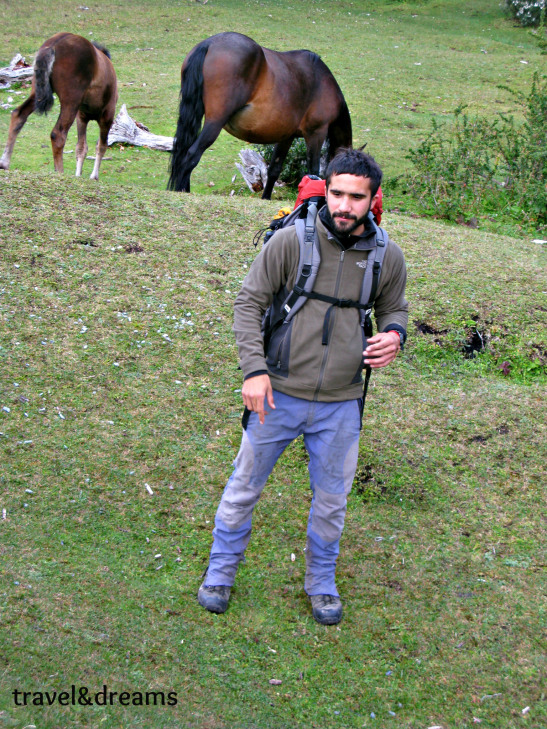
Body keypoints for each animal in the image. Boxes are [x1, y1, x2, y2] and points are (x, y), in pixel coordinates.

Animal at [0, 31, 118, 181]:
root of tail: (52, 45)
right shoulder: (107, 115)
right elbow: (101, 145)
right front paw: (94, 176)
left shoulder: (82, 117)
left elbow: (81, 147)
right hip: (70, 101)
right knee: (58, 134)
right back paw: (60, 172)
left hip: (37, 92)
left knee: (18, 114)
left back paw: (4, 162)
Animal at [169, 32, 354, 199]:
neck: (322, 81)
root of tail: (209, 43)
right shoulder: (316, 133)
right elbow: (313, 171)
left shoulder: (287, 136)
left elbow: (274, 169)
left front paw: (265, 198)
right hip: (215, 122)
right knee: (191, 154)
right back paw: (182, 191)